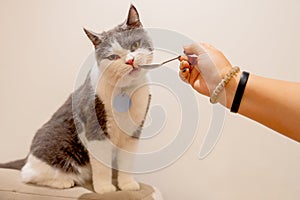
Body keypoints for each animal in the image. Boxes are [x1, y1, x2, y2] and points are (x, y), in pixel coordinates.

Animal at [0, 4, 154, 195]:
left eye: (135, 44)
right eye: (113, 57)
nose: (130, 61)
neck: (126, 91)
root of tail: (28, 155)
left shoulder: (133, 133)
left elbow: (127, 162)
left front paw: (127, 185)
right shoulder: (95, 128)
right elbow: (102, 166)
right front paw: (105, 189)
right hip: (60, 142)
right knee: (28, 174)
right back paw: (65, 182)